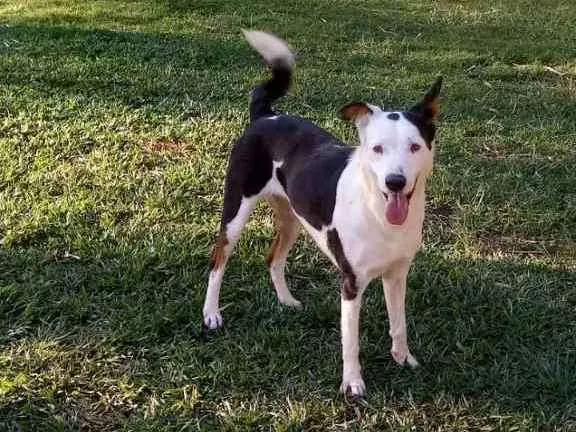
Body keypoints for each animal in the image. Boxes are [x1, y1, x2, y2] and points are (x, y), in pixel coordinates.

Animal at [202, 28, 440, 396]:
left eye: (415, 146)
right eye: (377, 148)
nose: (396, 182)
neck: (376, 210)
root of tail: (266, 115)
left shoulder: (397, 274)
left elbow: (398, 323)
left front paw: (403, 358)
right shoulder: (351, 283)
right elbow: (351, 342)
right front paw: (353, 383)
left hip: (292, 219)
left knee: (273, 258)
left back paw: (286, 300)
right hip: (235, 212)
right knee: (218, 259)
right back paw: (211, 313)